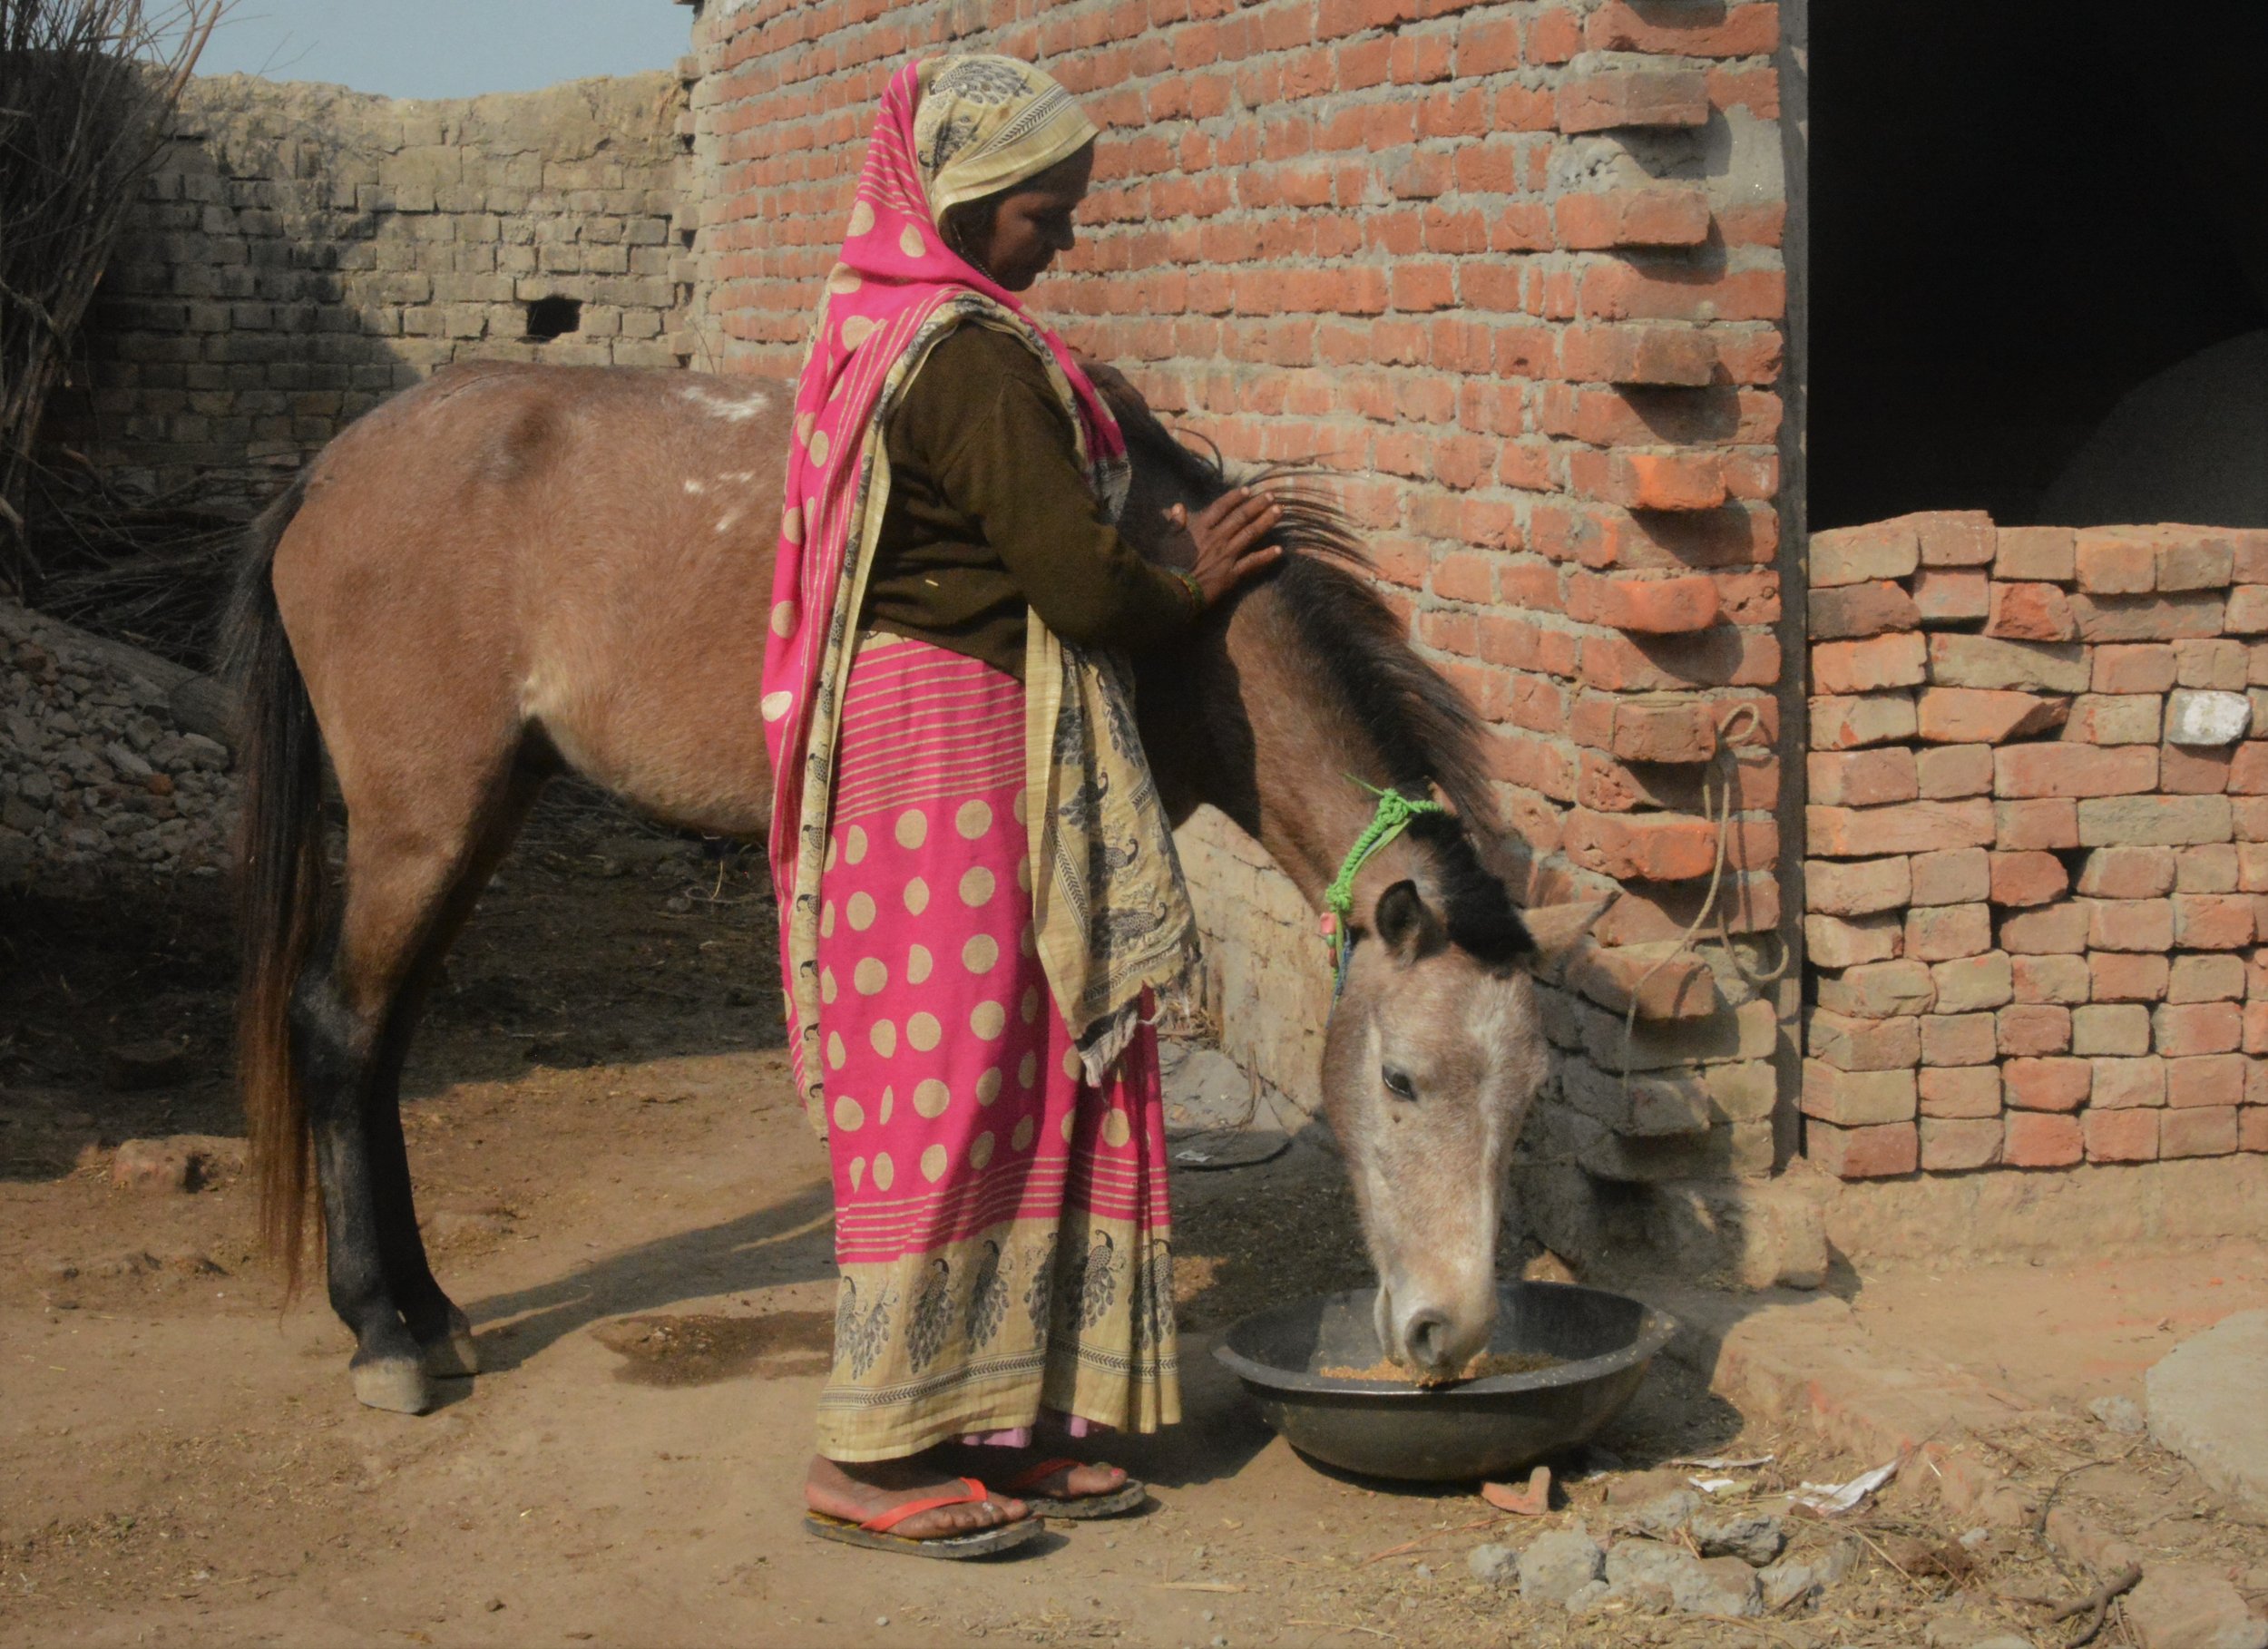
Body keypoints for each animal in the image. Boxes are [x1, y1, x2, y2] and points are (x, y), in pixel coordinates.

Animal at [225, 354, 1579, 1415]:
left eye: (1525, 1098)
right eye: (1401, 1081)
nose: (1449, 1333)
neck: (1171, 595)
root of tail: (322, 474)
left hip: (480, 812)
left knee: (382, 1044)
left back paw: (430, 1312)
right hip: (421, 825)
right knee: (339, 1030)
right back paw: (385, 1335)